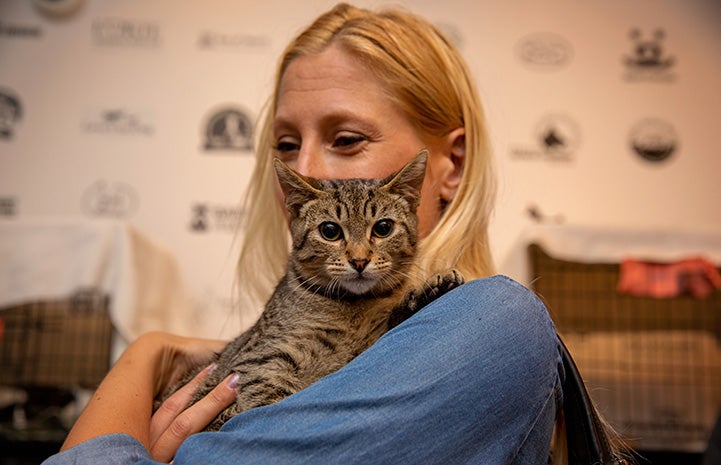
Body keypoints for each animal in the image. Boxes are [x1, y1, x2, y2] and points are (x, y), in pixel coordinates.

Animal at [165, 150, 462, 430]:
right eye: (330, 231)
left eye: (383, 227)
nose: (359, 261)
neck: (353, 309)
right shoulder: (262, 359)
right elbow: (269, 403)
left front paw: (429, 293)